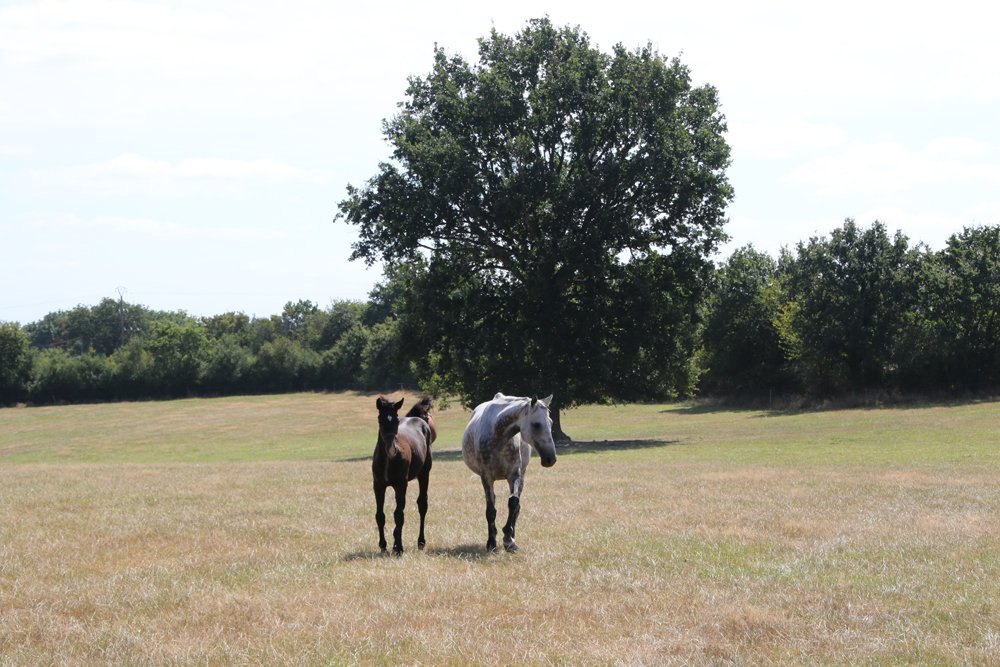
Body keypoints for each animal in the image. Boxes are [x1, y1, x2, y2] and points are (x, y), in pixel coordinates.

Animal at [372, 396, 435, 555]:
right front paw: (383, 546)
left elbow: (399, 515)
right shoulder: (378, 485)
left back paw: (420, 542)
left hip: (424, 474)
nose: (391, 450)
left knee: (422, 504)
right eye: (380, 420)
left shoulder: (401, 484)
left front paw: (399, 547)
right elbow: (380, 515)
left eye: (396, 420)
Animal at [461, 393, 557, 552]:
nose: (551, 459)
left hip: (522, 476)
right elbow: (491, 510)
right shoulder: (486, 476)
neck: (498, 436)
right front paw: (491, 542)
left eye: (551, 422)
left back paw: (513, 536)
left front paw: (508, 539)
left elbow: (513, 503)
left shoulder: (514, 474)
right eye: (536, 424)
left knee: (517, 507)